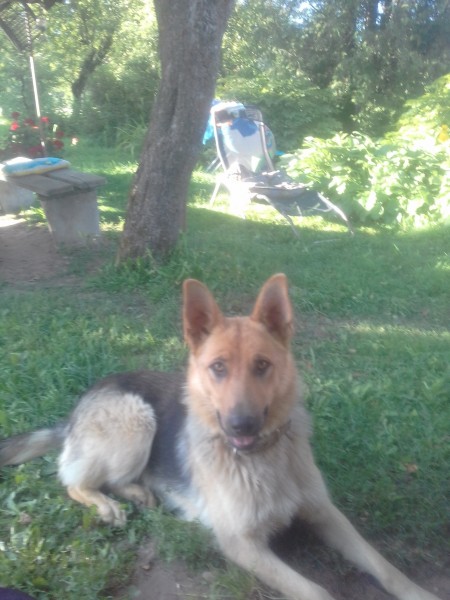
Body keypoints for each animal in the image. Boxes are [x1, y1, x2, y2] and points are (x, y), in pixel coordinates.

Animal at [0, 274, 441, 600]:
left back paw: (139, 493)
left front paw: (418, 593)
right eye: (218, 368)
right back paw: (107, 503)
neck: (262, 458)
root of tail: (84, 399)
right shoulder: (242, 544)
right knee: (75, 481)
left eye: (262, 365)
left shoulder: (325, 514)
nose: (240, 426)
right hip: (137, 420)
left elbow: (383, 564)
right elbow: (317, 591)